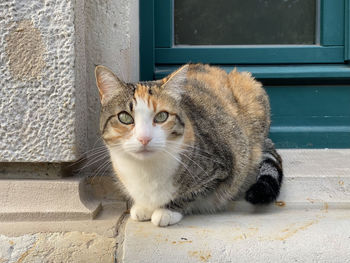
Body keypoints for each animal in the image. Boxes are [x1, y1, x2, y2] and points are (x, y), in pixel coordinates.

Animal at [94, 63, 284, 227]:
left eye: (161, 116)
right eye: (124, 117)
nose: (144, 138)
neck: (146, 169)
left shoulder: (222, 168)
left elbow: (190, 194)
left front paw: (166, 211)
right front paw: (144, 207)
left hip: (250, 89)